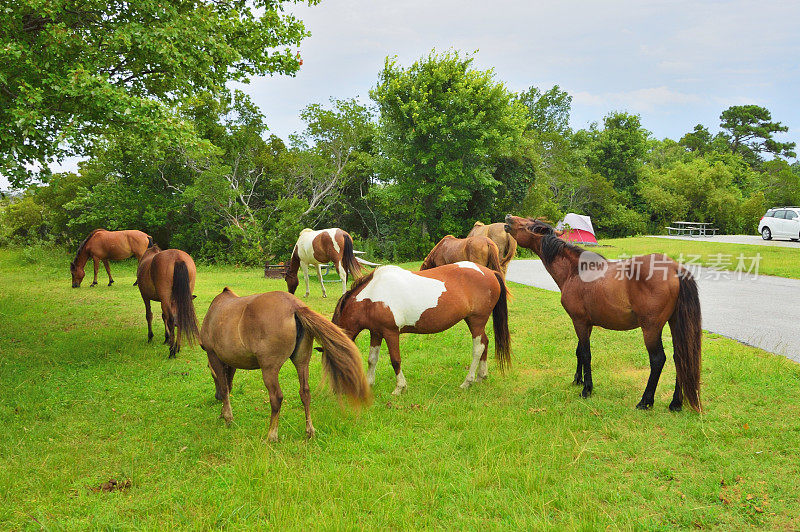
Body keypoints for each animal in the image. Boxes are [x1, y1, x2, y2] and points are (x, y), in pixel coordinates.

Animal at [202, 288, 374, 442]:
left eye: (209, 370)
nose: (216, 397)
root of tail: (294, 306)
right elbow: (228, 384)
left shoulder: (213, 355)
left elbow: (225, 386)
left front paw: (227, 416)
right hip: (302, 361)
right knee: (305, 392)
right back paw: (309, 431)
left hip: (269, 368)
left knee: (276, 397)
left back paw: (272, 435)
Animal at [332, 262, 512, 394]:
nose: (335, 391)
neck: (373, 295)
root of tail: (490, 272)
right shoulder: (376, 332)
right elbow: (372, 359)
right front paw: (369, 383)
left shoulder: (391, 332)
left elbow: (395, 360)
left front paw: (400, 387)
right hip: (473, 322)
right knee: (485, 343)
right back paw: (481, 376)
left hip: (476, 321)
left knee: (478, 347)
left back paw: (467, 382)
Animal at [506, 215, 700, 412]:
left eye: (529, 225)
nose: (508, 218)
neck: (575, 271)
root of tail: (675, 269)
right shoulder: (586, 323)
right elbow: (579, 351)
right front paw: (578, 380)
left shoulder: (579, 321)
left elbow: (586, 354)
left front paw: (587, 389)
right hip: (674, 323)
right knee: (679, 357)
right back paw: (675, 403)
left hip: (651, 328)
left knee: (658, 359)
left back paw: (645, 401)